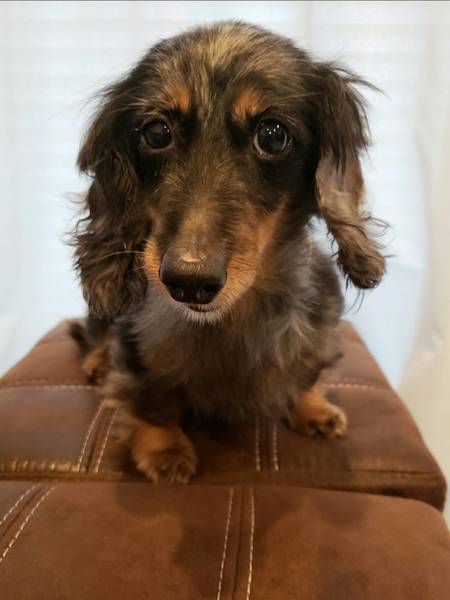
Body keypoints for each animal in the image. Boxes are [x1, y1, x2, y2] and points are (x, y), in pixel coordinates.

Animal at [71, 21, 385, 484]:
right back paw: (95, 363)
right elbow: (151, 399)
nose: (188, 282)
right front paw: (165, 449)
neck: (234, 315)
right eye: (156, 133)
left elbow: (309, 373)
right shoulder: (135, 345)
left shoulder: (320, 329)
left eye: (273, 135)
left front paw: (314, 407)